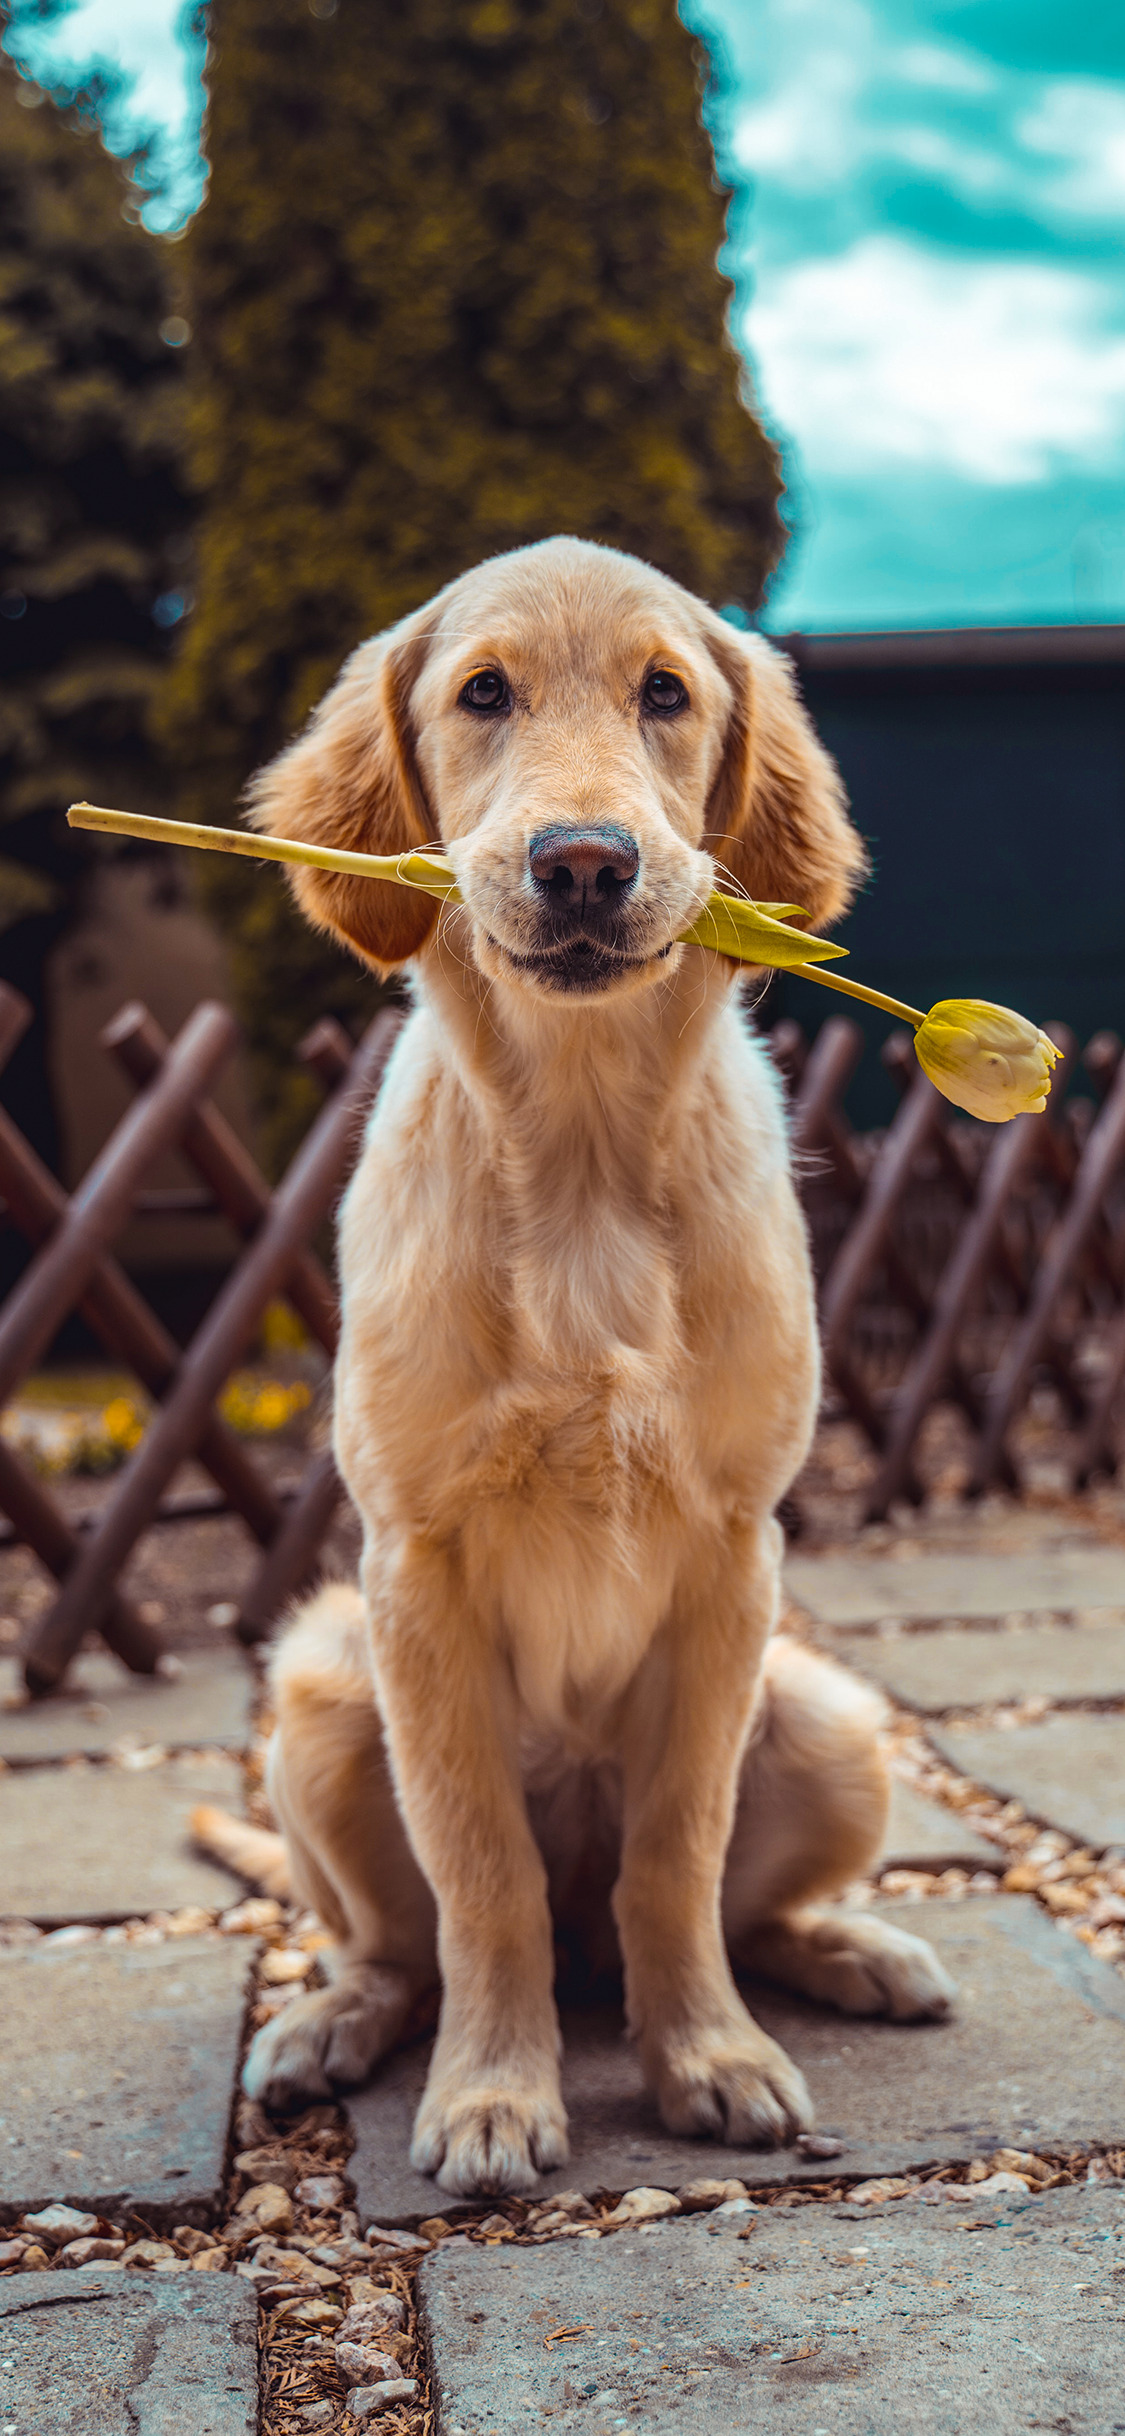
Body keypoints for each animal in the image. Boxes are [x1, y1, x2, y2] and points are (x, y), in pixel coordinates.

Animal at [232, 538, 954, 2211]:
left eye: (666, 695)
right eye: (484, 693)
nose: (579, 865)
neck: (576, 1156)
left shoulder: (733, 1559)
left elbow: (674, 1852)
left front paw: (708, 2058)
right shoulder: (413, 1567)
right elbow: (479, 1871)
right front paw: (497, 2092)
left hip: (829, 1717)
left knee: (713, 1911)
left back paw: (850, 1952)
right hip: (320, 1695)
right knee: (402, 1942)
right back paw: (332, 2024)